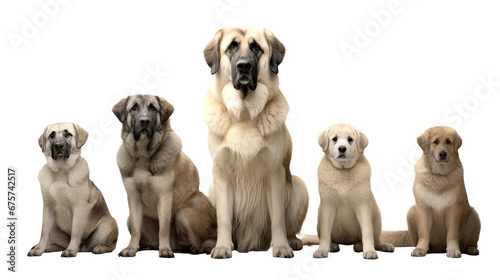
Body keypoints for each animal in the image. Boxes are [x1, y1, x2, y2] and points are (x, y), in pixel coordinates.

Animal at [29, 121, 118, 258]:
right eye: (51, 135)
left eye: (68, 134)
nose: (58, 146)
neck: (61, 170)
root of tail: (82, 248)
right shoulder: (48, 208)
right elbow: (44, 232)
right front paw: (39, 248)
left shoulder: (79, 209)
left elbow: (76, 231)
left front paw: (71, 250)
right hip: (55, 229)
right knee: (58, 242)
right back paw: (48, 247)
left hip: (107, 225)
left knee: (110, 245)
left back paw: (100, 248)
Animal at [203, 26, 308, 258]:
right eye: (231, 47)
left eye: (256, 48)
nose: (243, 66)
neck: (244, 114)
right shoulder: (221, 174)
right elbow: (224, 218)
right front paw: (222, 247)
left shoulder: (274, 172)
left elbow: (277, 218)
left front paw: (281, 247)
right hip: (212, 190)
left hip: (299, 186)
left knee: (290, 227)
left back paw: (292, 241)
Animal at [382, 127, 480, 258]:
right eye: (435, 142)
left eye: (448, 142)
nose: (443, 154)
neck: (439, 175)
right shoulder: (423, 208)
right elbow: (424, 233)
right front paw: (420, 249)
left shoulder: (453, 209)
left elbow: (452, 234)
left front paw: (453, 250)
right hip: (411, 211)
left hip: (473, 215)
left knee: (471, 242)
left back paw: (471, 249)